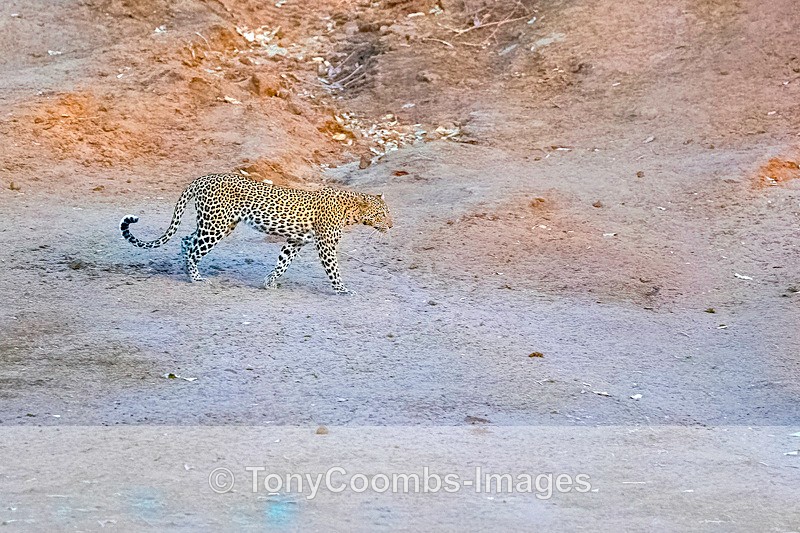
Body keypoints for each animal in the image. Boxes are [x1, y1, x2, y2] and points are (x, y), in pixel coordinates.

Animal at [119, 173, 392, 294]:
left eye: (387, 213)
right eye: (381, 214)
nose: (390, 226)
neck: (350, 211)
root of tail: (202, 178)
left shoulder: (295, 241)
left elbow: (282, 263)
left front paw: (269, 282)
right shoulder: (325, 244)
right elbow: (333, 269)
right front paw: (342, 289)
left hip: (216, 224)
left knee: (186, 241)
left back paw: (185, 271)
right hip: (215, 226)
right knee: (193, 248)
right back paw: (195, 277)